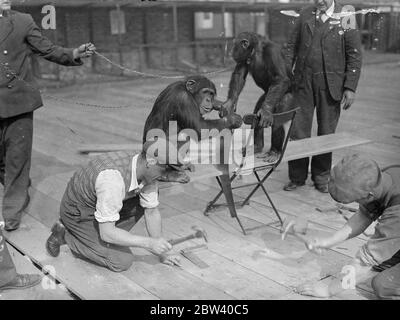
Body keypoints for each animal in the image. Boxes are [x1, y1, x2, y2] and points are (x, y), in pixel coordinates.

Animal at [220, 31, 296, 162]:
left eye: (234, 44)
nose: (231, 51)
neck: (254, 51)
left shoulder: (272, 51)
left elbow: (280, 78)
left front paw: (265, 113)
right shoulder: (243, 58)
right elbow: (239, 75)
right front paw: (230, 103)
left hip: (286, 100)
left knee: (279, 118)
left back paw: (274, 152)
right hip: (265, 97)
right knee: (256, 115)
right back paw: (257, 147)